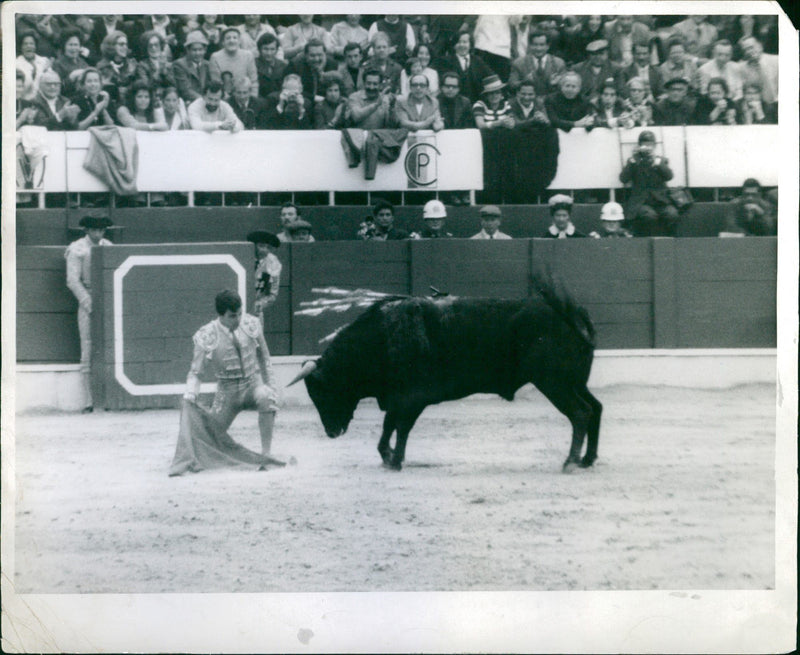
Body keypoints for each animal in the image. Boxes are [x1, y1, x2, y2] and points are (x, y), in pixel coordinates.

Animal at [290, 288, 604, 472]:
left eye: (321, 392)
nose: (332, 432)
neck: (381, 338)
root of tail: (575, 312)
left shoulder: (413, 397)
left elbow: (401, 426)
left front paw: (395, 459)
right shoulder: (398, 397)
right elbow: (390, 425)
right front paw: (387, 456)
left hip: (554, 382)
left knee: (580, 412)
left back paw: (570, 461)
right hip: (573, 382)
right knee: (596, 408)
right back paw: (587, 459)